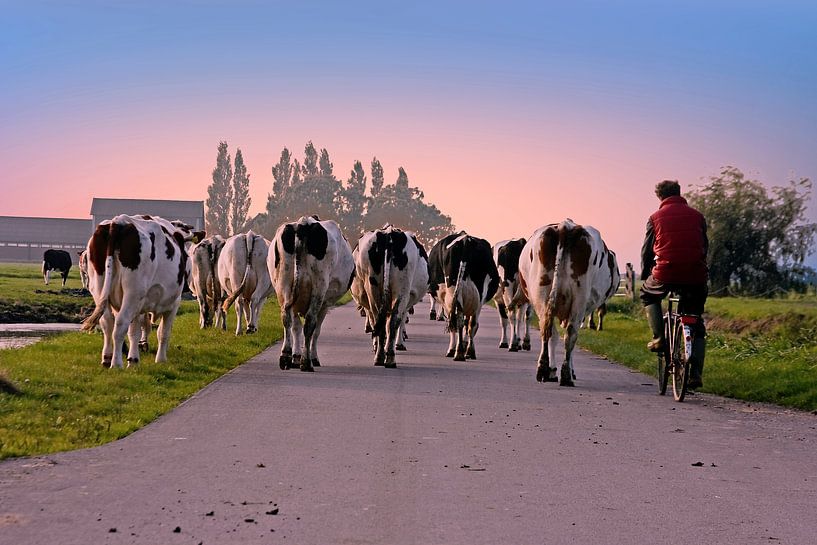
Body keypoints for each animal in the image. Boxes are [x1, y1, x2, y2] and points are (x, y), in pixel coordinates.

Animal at [81, 214, 192, 368]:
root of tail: (118, 222)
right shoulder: (174, 303)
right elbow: (163, 332)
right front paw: (160, 360)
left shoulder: (137, 306)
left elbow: (134, 331)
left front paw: (133, 359)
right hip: (133, 292)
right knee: (120, 324)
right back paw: (116, 364)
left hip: (99, 288)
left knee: (107, 322)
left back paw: (107, 358)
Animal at [270, 216, 354, 372]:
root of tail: (303, 223)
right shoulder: (325, 304)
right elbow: (316, 330)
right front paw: (312, 358)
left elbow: (296, 327)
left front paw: (295, 357)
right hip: (319, 286)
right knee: (310, 322)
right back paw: (306, 362)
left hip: (284, 284)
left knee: (286, 318)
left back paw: (285, 356)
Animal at [352, 225, 420, 367]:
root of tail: (389, 233)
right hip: (401, 290)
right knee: (393, 321)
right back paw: (389, 357)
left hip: (373, 288)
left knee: (380, 320)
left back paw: (380, 356)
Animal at [428, 232, 499, 361]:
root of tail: (465, 240)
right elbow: (469, 324)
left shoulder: (444, 299)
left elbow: (453, 322)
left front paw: (452, 349)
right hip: (479, 295)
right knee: (471, 323)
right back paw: (469, 351)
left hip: (452, 292)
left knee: (458, 321)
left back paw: (458, 352)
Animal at [518, 220, 620, 386]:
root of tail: (564, 226)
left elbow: (554, 337)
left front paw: (552, 371)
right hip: (579, 299)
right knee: (570, 333)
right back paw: (566, 375)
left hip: (542, 296)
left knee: (549, 331)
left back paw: (544, 370)